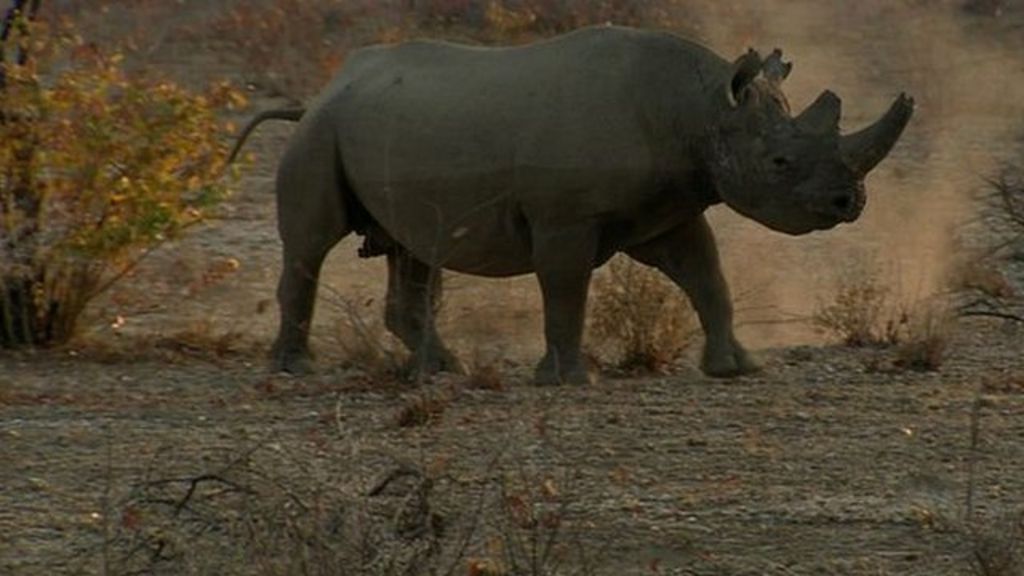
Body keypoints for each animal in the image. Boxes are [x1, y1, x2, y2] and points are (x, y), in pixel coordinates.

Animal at [233, 25, 913, 385]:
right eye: (779, 163)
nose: (850, 200)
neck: (700, 111)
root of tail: (323, 90)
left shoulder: (673, 204)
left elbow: (706, 275)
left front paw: (735, 367)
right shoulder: (565, 218)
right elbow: (565, 288)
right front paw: (565, 379)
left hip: (382, 127)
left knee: (413, 247)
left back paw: (443, 370)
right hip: (321, 134)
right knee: (311, 244)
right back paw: (295, 369)